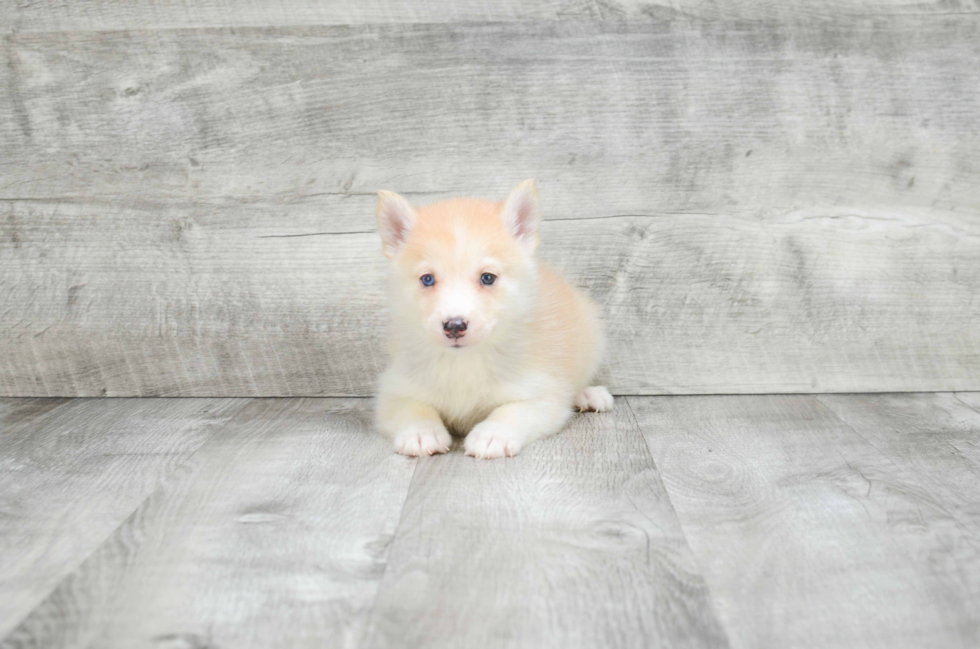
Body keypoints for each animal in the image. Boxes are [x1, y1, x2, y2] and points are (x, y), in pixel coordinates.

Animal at [376, 180, 612, 458]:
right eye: (428, 279)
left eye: (487, 277)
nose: (454, 326)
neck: (463, 362)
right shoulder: (393, 391)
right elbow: (414, 409)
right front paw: (421, 432)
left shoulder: (543, 396)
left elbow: (512, 412)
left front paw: (492, 435)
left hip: (593, 337)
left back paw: (589, 394)